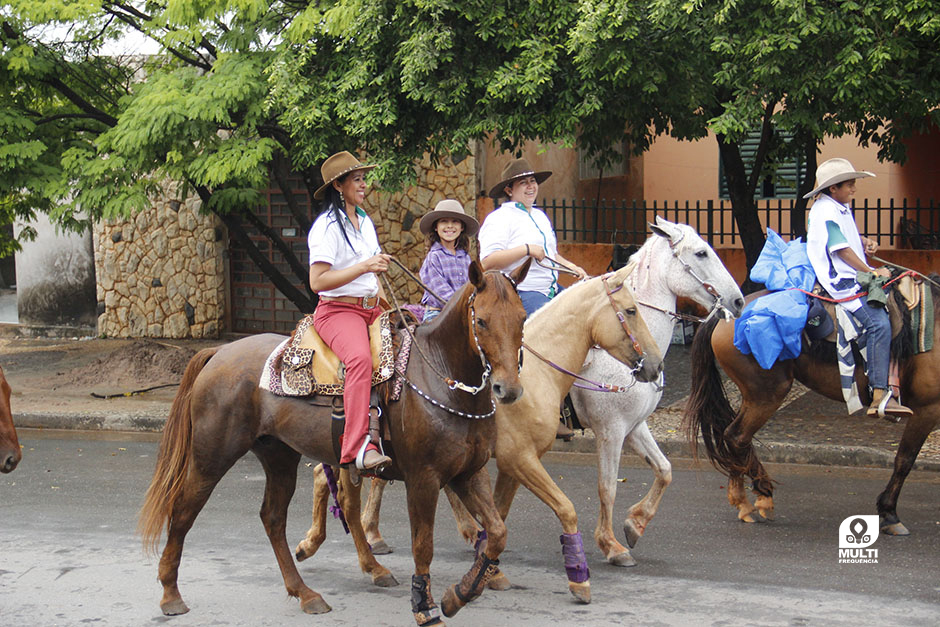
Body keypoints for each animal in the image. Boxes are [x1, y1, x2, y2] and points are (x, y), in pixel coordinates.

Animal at [138, 260, 552, 624]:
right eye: (481, 321)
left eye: (521, 319)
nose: (508, 389)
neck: (442, 378)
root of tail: (218, 352)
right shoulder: (424, 479)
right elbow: (424, 546)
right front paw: (425, 607)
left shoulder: (469, 472)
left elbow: (496, 533)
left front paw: (459, 594)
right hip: (211, 457)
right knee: (183, 511)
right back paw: (171, 594)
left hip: (279, 456)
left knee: (273, 517)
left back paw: (306, 593)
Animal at [568, 218, 744, 568]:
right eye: (701, 252)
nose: (737, 301)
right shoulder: (610, 430)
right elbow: (607, 487)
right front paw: (611, 545)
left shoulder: (634, 427)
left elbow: (664, 470)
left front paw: (634, 524)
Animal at [684, 274, 940, 536]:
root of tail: (724, 315)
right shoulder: (927, 409)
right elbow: (904, 460)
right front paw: (889, 513)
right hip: (768, 394)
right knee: (737, 436)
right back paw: (761, 496)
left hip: (755, 396)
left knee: (731, 435)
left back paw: (744, 499)